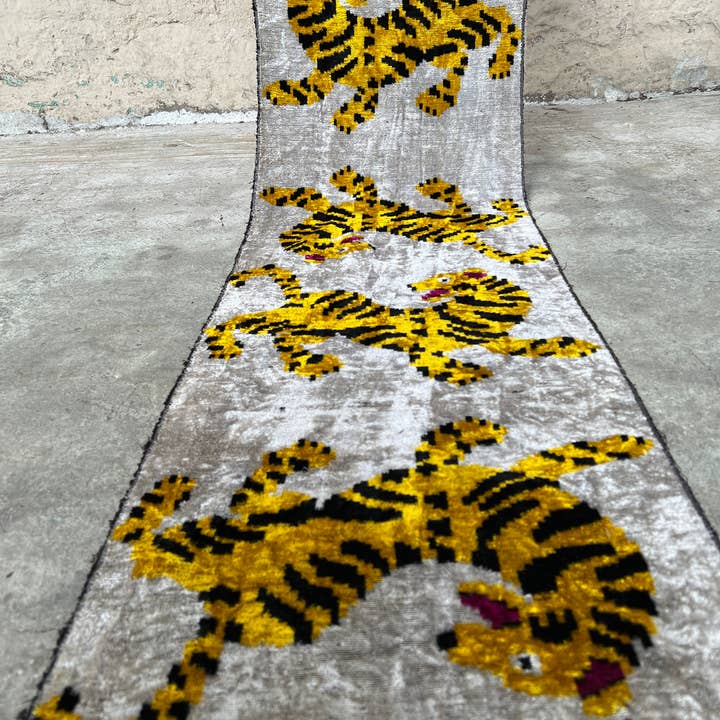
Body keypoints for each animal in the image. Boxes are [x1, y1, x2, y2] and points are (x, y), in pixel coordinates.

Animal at [34, 417, 656, 719]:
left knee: (160, 532)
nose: (447, 641)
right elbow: (553, 451)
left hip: (226, 544)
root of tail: (224, 599)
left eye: (520, 668)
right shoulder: (463, 474)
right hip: (234, 530)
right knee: (182, 518)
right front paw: (627, 442)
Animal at [203, 264, 599, 384]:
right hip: (301, 319)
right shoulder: (424, 347)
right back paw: (221, 344)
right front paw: (468, 373)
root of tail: (307, 293)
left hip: (312, 328)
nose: (411, 286)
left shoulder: (498, 340)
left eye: (443, 277)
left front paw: (578, 345)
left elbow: (539, 344)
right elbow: (439, 363)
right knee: (241, 320)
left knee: (280, 337)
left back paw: (311, 363)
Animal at [260, 165, 546, 264]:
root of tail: (465, 236)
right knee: (469, 209)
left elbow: (306, 195)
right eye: (320, 249)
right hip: (462, 220)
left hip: (461, 218)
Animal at [263, 0, 522, 132]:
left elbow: (363, 100)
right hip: (444, 41)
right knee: (464, 54)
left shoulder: (369, 79)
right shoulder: (323, 75)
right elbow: (306, 89)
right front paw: (282, 91)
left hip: (454, 33)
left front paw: (348, 116)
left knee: (503, 21)